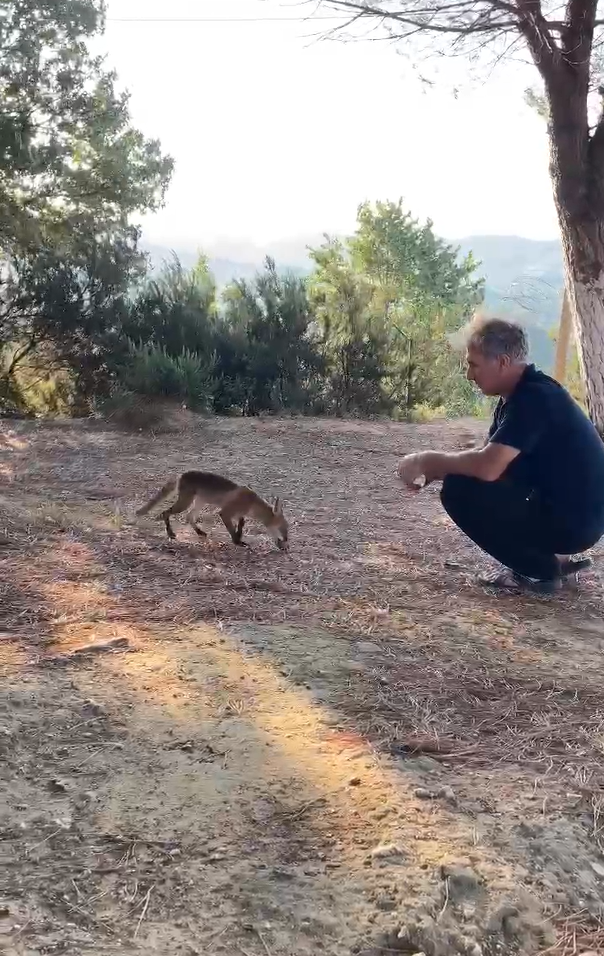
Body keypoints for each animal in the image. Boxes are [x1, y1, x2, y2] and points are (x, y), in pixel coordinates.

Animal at [135, 468, 290, 548]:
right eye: (284, 527)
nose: (286, 540)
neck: (252, 504)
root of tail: (182, 474)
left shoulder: (240, 514)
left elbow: (240, 525)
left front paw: (239, 536)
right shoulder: (225, 513)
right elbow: (232, 530)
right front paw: (237, 542)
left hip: (199, 502)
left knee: (188, 516)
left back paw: (199, 532)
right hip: (185, 503)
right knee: (165, 512)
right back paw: (170, 533)